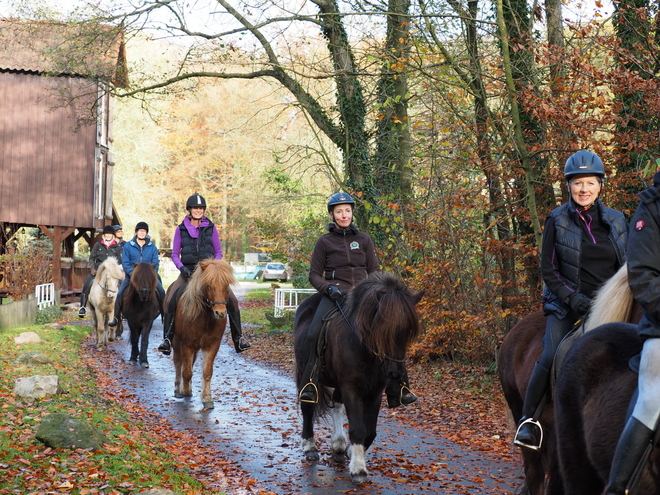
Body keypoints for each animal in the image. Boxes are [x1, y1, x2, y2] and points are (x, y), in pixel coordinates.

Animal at [171, 258, 236, 408]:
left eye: (226, 285)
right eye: (208, 286)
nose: (220, 313)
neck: (205, 317)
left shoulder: (212, 345)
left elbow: (207, 372)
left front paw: (207, 398)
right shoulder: (187, 344)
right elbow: (186, 372)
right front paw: (185, 391)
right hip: (176, 341)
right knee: (178, 363)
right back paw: (178, 389)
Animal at [294, 272, 422, 484]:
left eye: (408, 332)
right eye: (383, 328)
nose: (395, 372)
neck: (363, 346)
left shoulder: (375, 392)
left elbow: (369, 431)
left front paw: (350, 452)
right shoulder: (351, 388)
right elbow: (358, 428)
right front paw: (358, 469)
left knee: (336, 405)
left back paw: (338, 445)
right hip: (307, 374)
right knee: (308, 407)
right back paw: (310, 446)